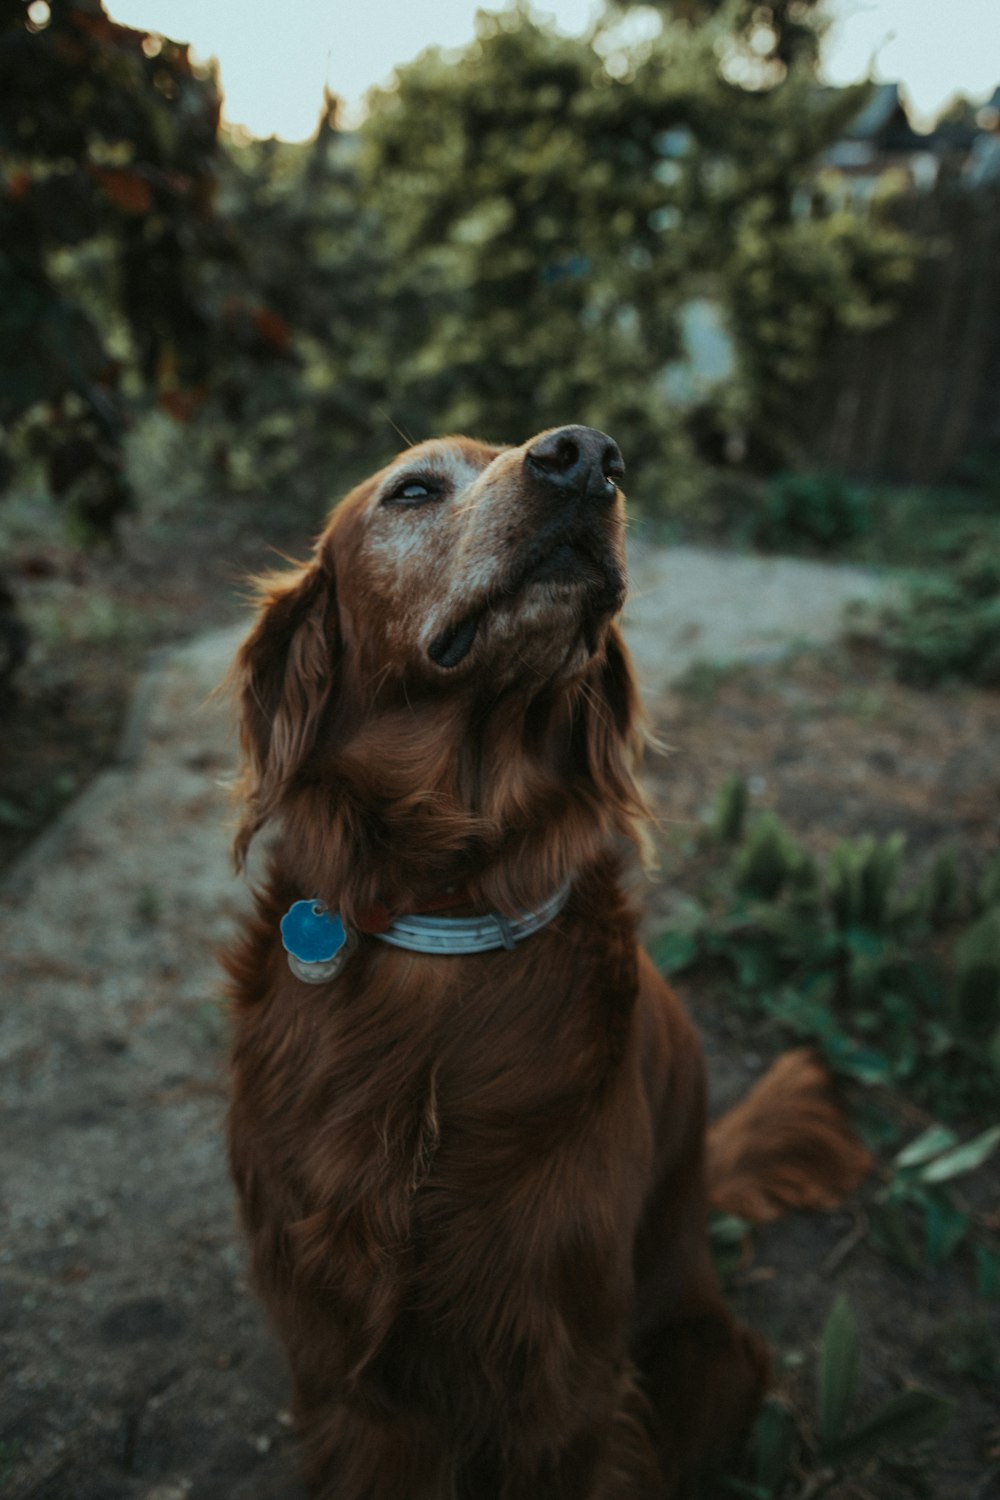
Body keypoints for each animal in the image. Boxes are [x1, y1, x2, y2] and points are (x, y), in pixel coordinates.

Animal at [226, 426, 869, 1500]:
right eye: (413, 490)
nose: (589, 456)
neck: (448, 913)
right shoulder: (342, 1365)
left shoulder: (555, 1379)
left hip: (706, 1359)